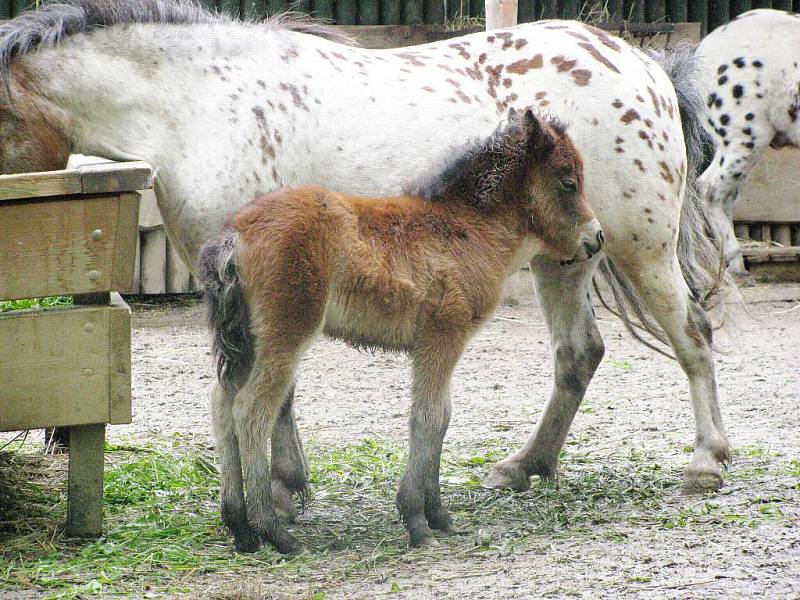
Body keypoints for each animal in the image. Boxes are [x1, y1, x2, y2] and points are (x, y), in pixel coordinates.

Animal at [0, 0, 736, 548]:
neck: (202, 104)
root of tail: (643, 64)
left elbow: (271, 397)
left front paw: (279, 496)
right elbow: (258, 395)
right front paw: (275, 496)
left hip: (639, 247)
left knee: (693, 337)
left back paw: (706, 461)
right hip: (564, 256)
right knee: (579, 354)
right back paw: (525, 466)